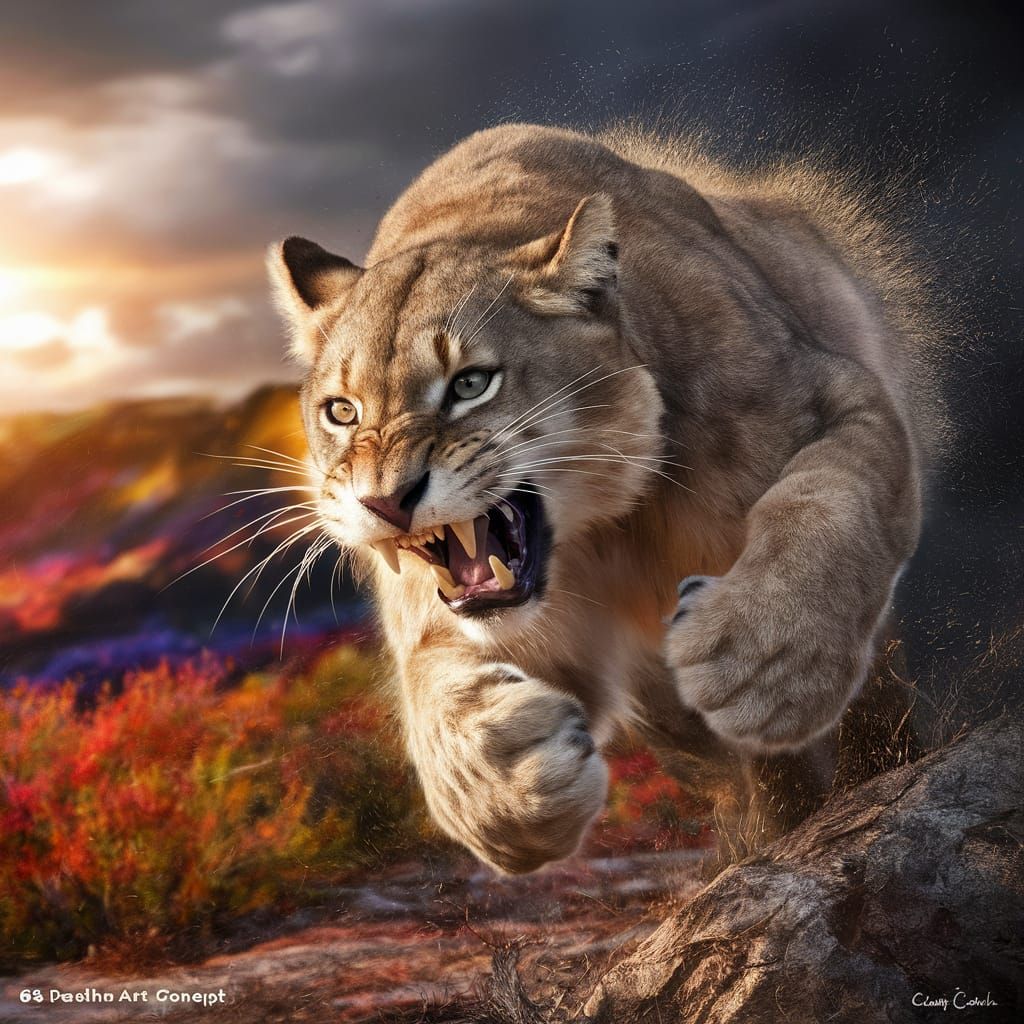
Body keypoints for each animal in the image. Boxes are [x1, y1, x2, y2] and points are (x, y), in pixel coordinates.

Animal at [267, 123, 939, 873]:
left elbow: (824, 501)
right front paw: (510, 786)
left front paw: (762, 662)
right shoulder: (450, 614)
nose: (383, 501)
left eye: (470, 384)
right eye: (342, 411)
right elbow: (429, 680)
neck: (613, 528)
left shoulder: (839, 398)